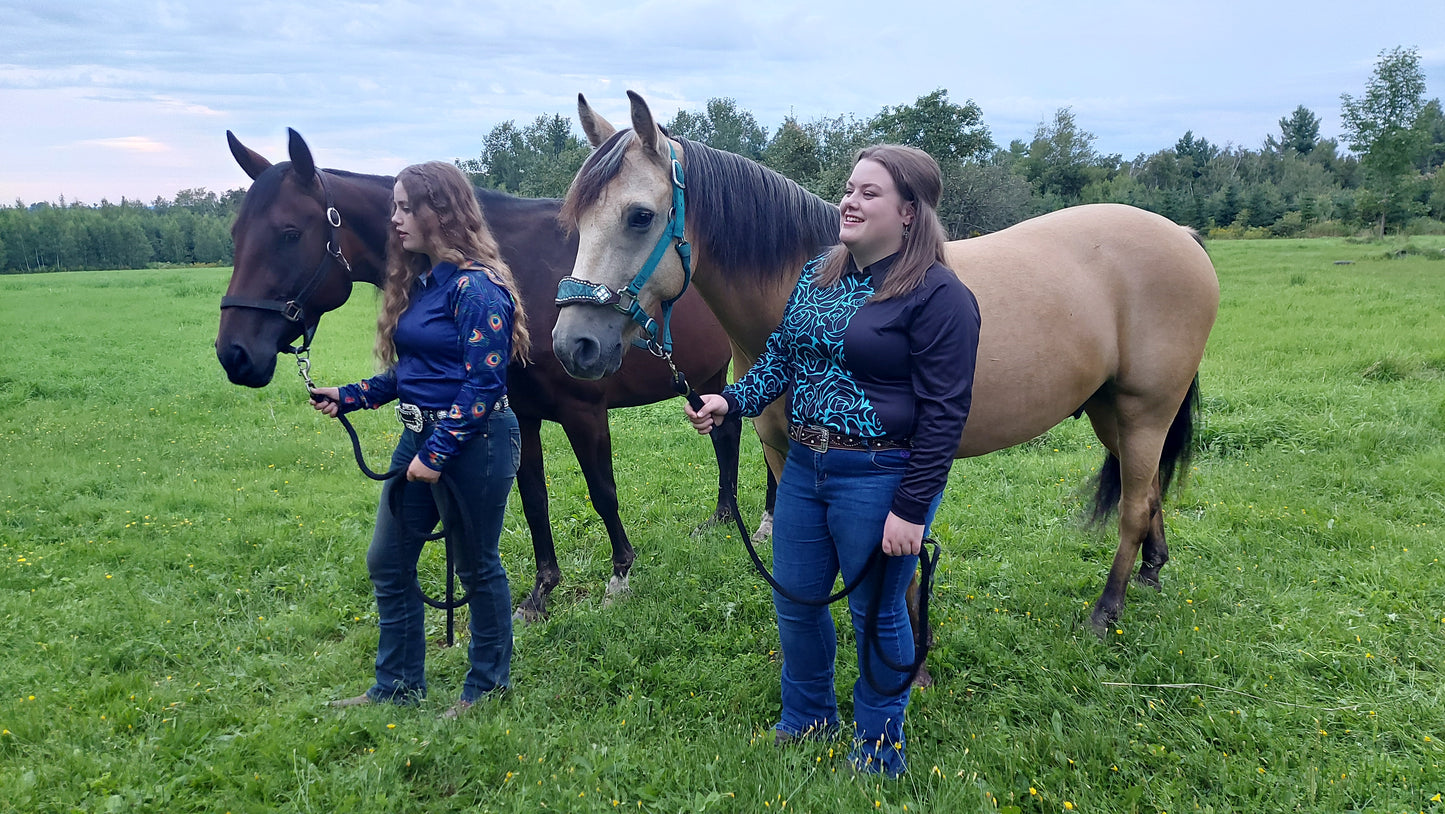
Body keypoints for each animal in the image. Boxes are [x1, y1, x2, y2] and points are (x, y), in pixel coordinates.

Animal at [216, 127, 757, 621]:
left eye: (289, 233)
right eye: (235, 235)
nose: (234, 353)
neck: (515, 275)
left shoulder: (583, 412)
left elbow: (603, 493)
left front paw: (620, 576)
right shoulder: (522, 414)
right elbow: (535, 501)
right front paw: (541, 594)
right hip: (706, 378)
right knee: (725, 434)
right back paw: (722, 518)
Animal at [551, 93, 1219, 644]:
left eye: (639, 215)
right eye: (577, 221)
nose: (573, 344)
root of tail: (1182, 235)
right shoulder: (784, 454)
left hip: (1145, 410)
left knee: (1133, 505)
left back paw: (1105, 612)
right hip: (1110, 410)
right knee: (1148, 491)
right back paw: (1151, 574)